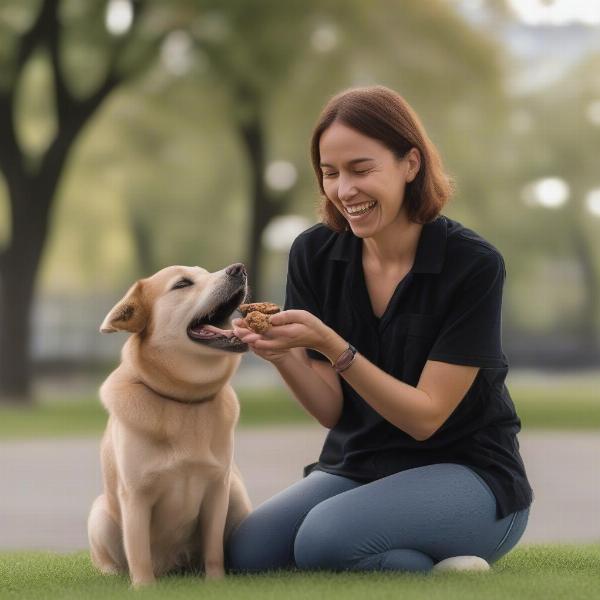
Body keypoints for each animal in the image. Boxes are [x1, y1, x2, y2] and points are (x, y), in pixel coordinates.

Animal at [86, 262, 251, 584]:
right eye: (183, 284)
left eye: (206, 272)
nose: (238, 268)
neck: (183, 398)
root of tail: (174, 565)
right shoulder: (135, 496)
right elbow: (138, 554)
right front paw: (144, 587)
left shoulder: (218, 488)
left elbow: (214, 549)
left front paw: (217, 583)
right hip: (100, 515)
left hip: (237, 495)